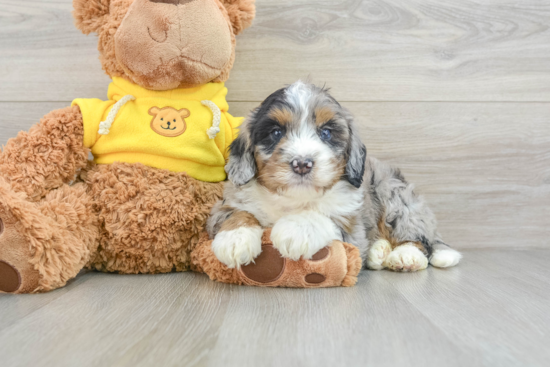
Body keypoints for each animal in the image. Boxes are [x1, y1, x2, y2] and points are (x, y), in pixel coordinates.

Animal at [206, 83, 462, 274]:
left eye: (326, 133)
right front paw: (235, 239)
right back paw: (378, 251)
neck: (294, 200)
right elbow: (237, 213)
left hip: (396, 198)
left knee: (419, 239)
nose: (302, 163)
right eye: (276, 132)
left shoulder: (351, 226)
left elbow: (321, 216)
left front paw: (294, 229)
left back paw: (406, 256)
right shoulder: (224, 205)